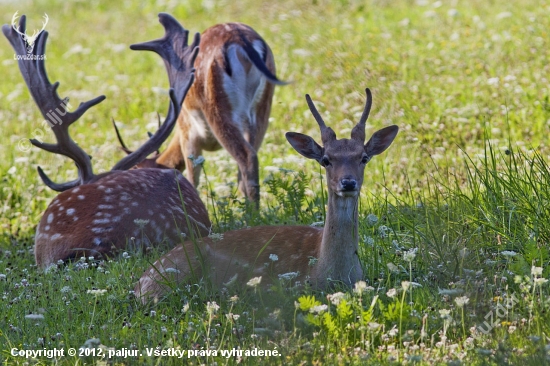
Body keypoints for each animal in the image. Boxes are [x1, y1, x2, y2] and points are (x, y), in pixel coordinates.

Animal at [126, 22, 284, 206]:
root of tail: (242, 42)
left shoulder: (188, 133)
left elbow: (192, 178)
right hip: (262, 108)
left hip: (217, 106)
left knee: (247, 156)